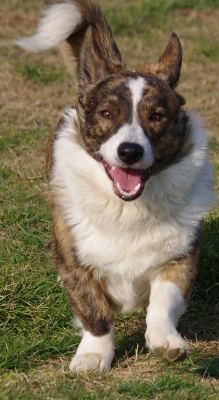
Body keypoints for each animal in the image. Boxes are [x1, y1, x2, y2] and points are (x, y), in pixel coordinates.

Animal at [15, 1, 216, 374]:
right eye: (107, 113)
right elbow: (94, 312)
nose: (129, 151)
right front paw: (93, 356)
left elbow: (163, 300)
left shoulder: (179, 257)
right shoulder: (75, 261)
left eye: (157, 116)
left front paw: (167, 341)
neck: (128, 207)